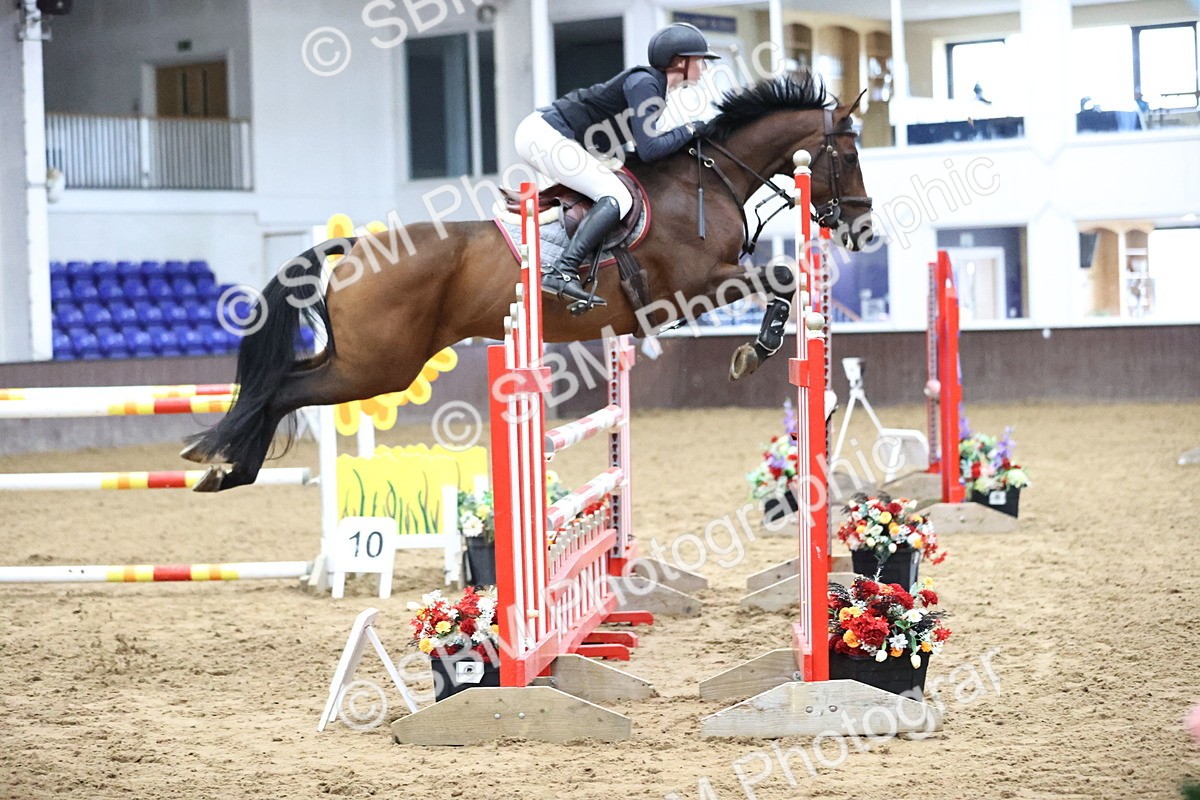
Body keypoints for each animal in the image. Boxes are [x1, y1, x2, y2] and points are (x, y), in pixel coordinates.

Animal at [183, 73, 874, 492]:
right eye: (848, 154)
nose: (863, 228)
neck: (707, 180)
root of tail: (359, 244)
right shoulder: (696, 285)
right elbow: (781, 277)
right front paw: (753, 352)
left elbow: (783, 280)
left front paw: (758, 350)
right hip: (378, 367)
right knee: (281, 390)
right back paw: (226, 470)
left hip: (358, 358)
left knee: (279, 382)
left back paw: (222, 463)